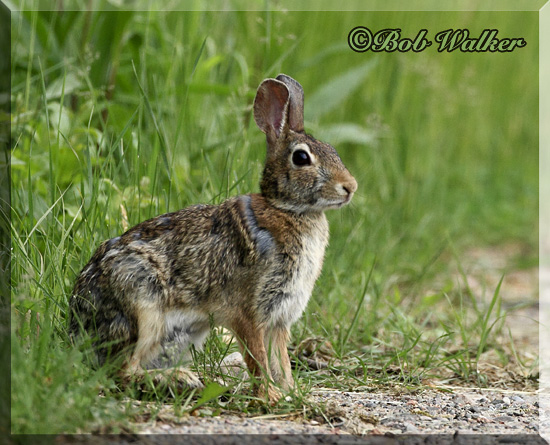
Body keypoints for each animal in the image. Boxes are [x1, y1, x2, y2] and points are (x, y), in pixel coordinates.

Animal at [69, 73, 360, 402]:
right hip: (142, 306)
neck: (288, 209)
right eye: (301, 158)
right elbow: (258, 357)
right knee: (121, 372)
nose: (350, 187)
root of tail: (77, 328)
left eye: (332, 149)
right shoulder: (247, 311)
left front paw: (291, 392)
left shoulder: (279, 319)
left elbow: (281, 360)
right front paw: (270, 395)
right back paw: (180, 380)